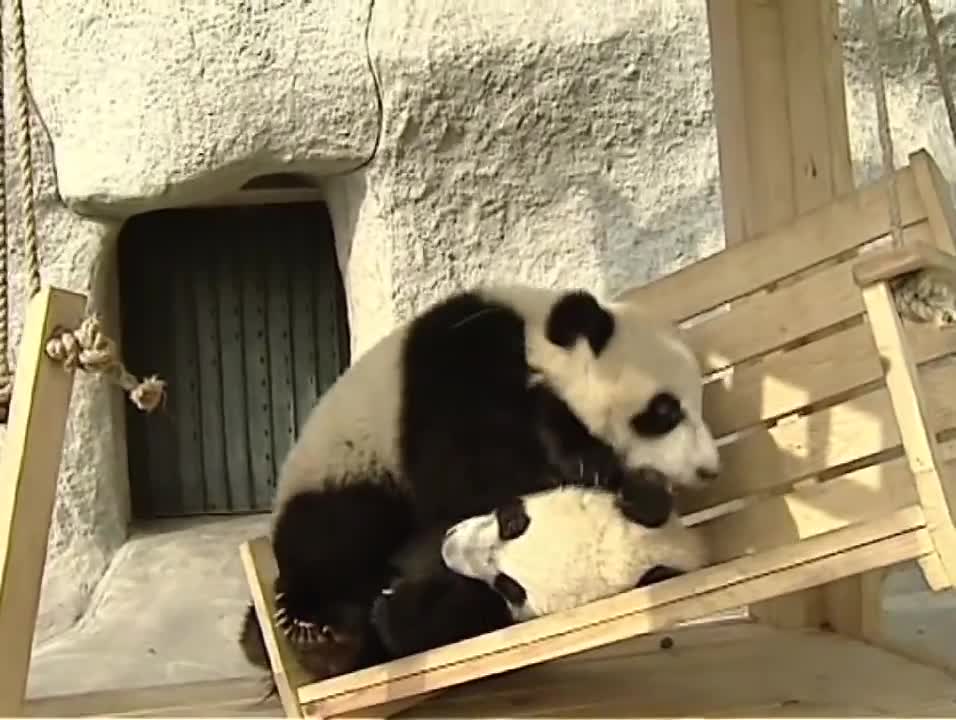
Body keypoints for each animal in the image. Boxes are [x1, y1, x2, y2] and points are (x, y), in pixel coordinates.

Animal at [243, 284, 720, 676]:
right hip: (345, 472)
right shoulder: (460, 381)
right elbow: (466, 480)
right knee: (335, 537)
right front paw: (586, 461)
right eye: (664, 411)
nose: (708, 469)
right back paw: (320, 627)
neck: (533, 340)